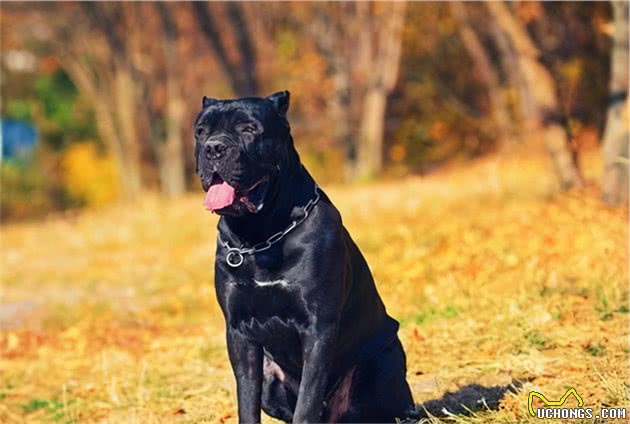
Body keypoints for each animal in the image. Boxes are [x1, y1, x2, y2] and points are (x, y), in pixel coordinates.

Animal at [195, 92, 418, 420]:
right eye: (201, 132)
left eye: (249, 129)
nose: (213, 147)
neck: (260, 236)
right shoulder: (238, 332)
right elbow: (246, 402)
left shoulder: (318, 326)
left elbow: (308, 401)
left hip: (380, 364)